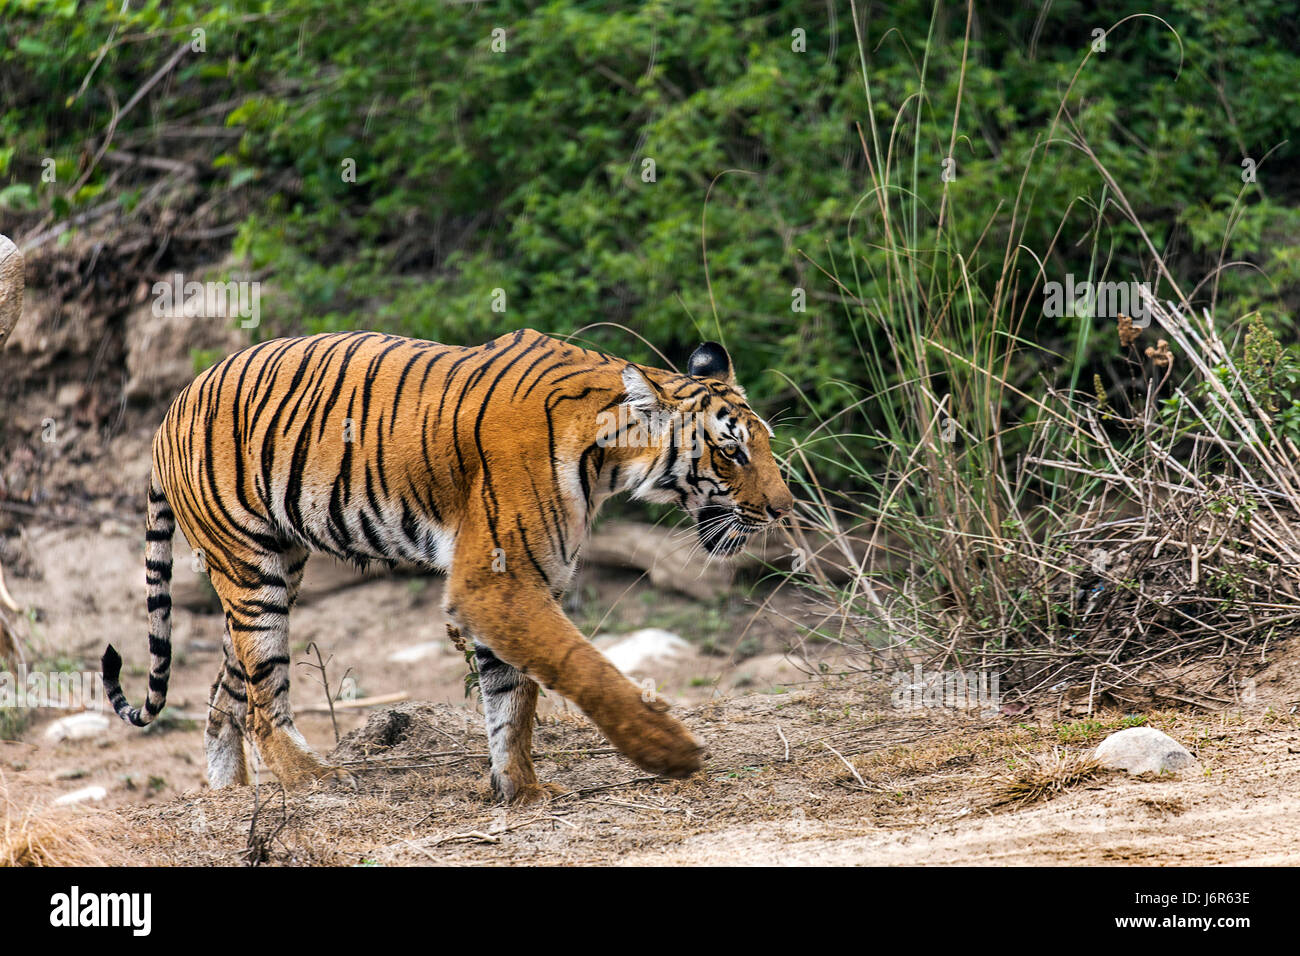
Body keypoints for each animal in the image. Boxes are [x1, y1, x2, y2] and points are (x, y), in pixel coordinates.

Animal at [98, 327, 790, 801]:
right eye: (731, 452)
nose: (783, 509)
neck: (607, 457)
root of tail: (169, 410)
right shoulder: (496, 581)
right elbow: (581, 667)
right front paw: (670, 753)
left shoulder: (517, 583)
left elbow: (512, 699)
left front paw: (522, 790)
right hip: (250, 569)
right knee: (262, 707)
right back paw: (322, 781)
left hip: (274, 566)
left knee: (224, 698)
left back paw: (233, 795)